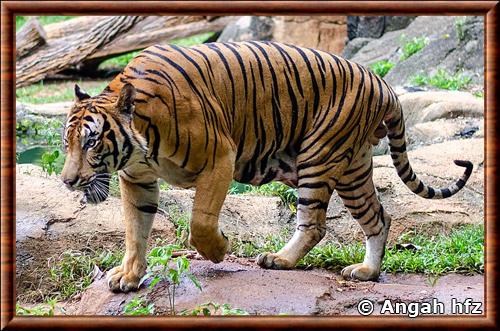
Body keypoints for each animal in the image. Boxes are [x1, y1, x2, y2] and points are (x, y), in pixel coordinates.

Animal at [60, 40, 470, 294]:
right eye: (67, 143)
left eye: (91, 141)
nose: (67, 181)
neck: (138, 147)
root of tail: (383, 83)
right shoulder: (137, 180)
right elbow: (135, 231)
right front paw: (129, 276)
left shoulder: (220, 157)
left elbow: (200, 220)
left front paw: (218, 250)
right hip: (352, 168)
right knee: (378, 217)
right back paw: (366, 272)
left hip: (318, 156)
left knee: (314, 224)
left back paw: (281, 260)